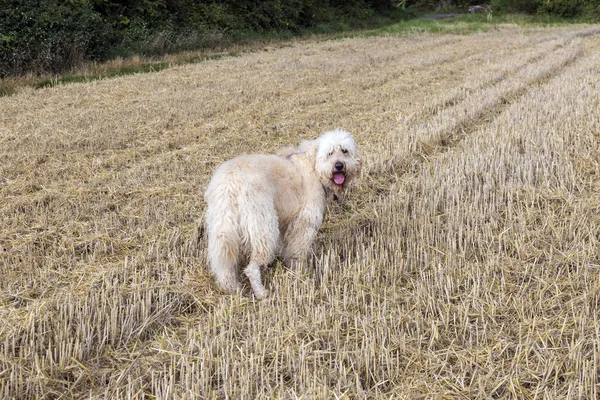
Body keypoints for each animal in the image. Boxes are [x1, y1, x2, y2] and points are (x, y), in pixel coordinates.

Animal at [205, 130, 360, 298]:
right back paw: (261, 292)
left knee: (224, 264)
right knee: (252, 267)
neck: (314, 164)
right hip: (264, 227)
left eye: (344, 151)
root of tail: (229, 183)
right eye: (330, 153)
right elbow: (297, 249)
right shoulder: (305, 221)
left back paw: (232, 287)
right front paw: (300, 271)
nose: (339, 165)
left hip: (223, 229)